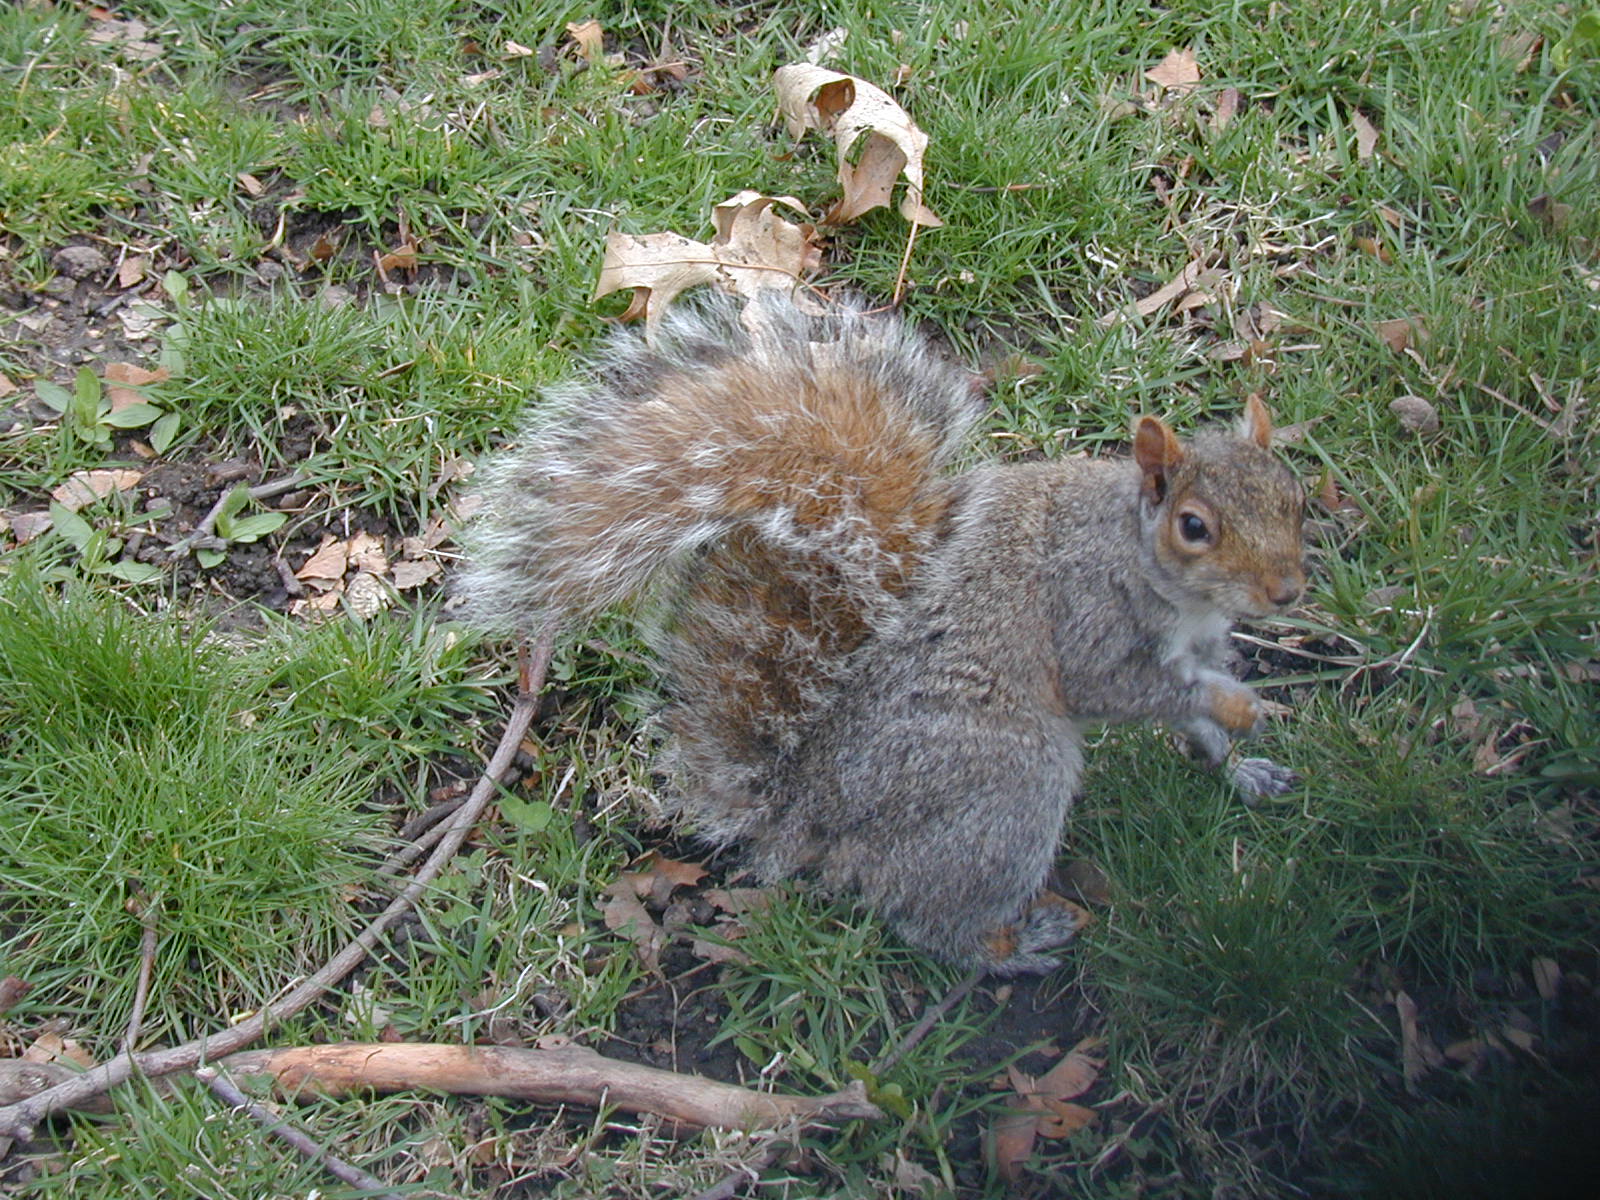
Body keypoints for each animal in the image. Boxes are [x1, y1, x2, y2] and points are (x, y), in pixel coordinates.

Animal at [458, 297, 1307, 976]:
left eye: (1294, 495)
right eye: (1194, 527)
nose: (1288, 591)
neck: (1152, 564)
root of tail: (810, 814)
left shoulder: (1201, 643)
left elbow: (1194, 713)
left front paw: (1243, 765)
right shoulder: (1085, 617)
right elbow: (1132, 690)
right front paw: (1245, 711)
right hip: (1007, 782)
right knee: (934, 920)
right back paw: (1013, 945)